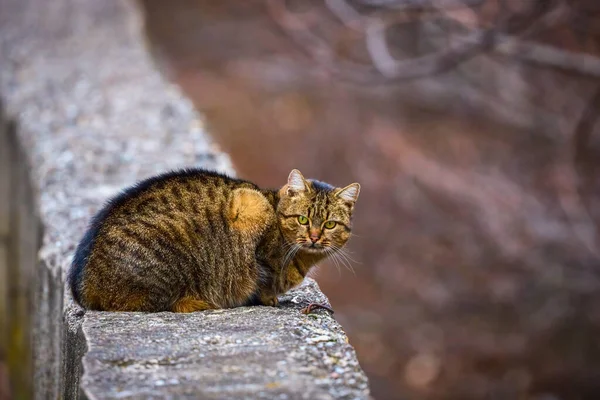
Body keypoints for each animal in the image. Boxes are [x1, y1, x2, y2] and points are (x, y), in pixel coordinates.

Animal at [69, 169, 360, 312]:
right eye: (302, 219)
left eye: (330, 224)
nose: (314, 237)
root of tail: (81, 287)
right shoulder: (251, 210)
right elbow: (260, 280)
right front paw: (267, 298)